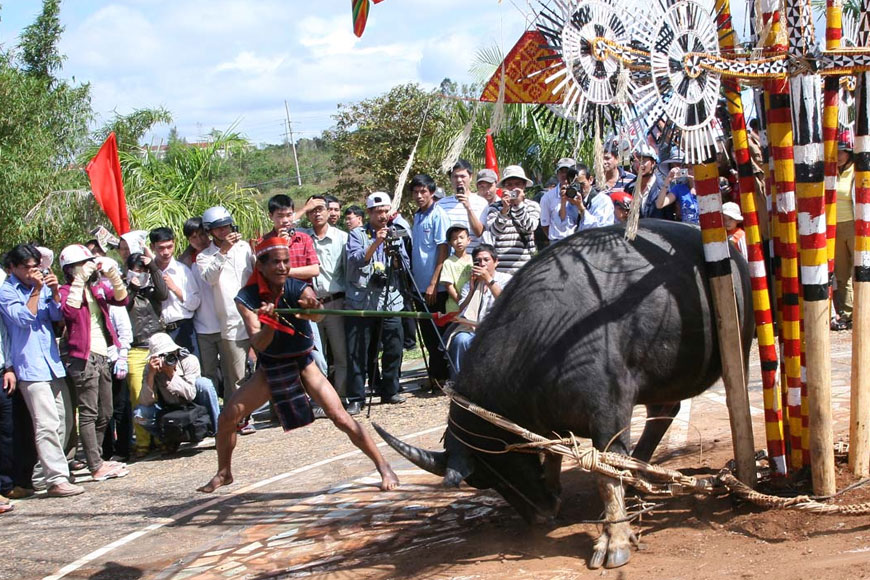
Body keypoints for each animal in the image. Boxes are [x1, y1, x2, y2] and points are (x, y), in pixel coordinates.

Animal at [378, 220, 752, 568]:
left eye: (486, 474)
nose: (540, 514)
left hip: (739, 344)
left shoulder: (609, 411)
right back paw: (637, 472)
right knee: (666, 409)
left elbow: (605, 473)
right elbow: (553, 448)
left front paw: (614, 540)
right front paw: (555, 486)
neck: (537, 347)